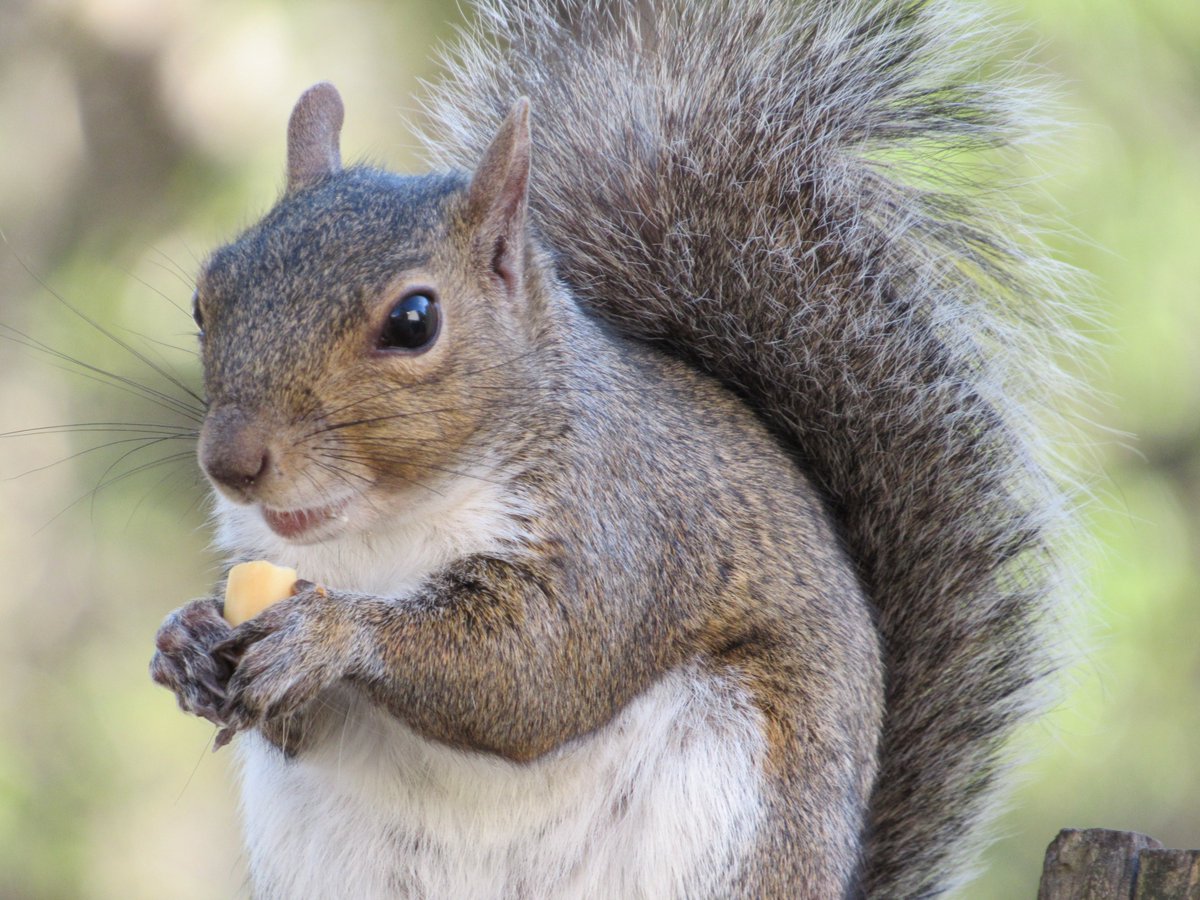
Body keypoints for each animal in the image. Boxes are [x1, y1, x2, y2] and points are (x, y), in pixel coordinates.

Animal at [149, 0, 1076, 897]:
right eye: (205, 296)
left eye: (413, 321)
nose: (231, 462)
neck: (383, 531)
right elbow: (293, 722)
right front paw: (184, 641)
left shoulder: (624, 529)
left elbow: (537, 671)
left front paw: (330, 635)